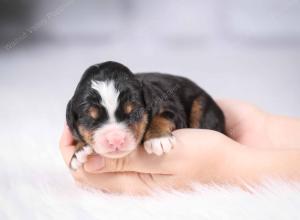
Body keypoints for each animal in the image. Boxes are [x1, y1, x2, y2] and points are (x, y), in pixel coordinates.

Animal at [66, 61, 225, 171]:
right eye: (90, 118)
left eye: (134, 112)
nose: (116, 140)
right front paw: (79, 152)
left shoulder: (171, 108)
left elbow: (162, 116)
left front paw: (158, 139)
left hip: (201, 105)